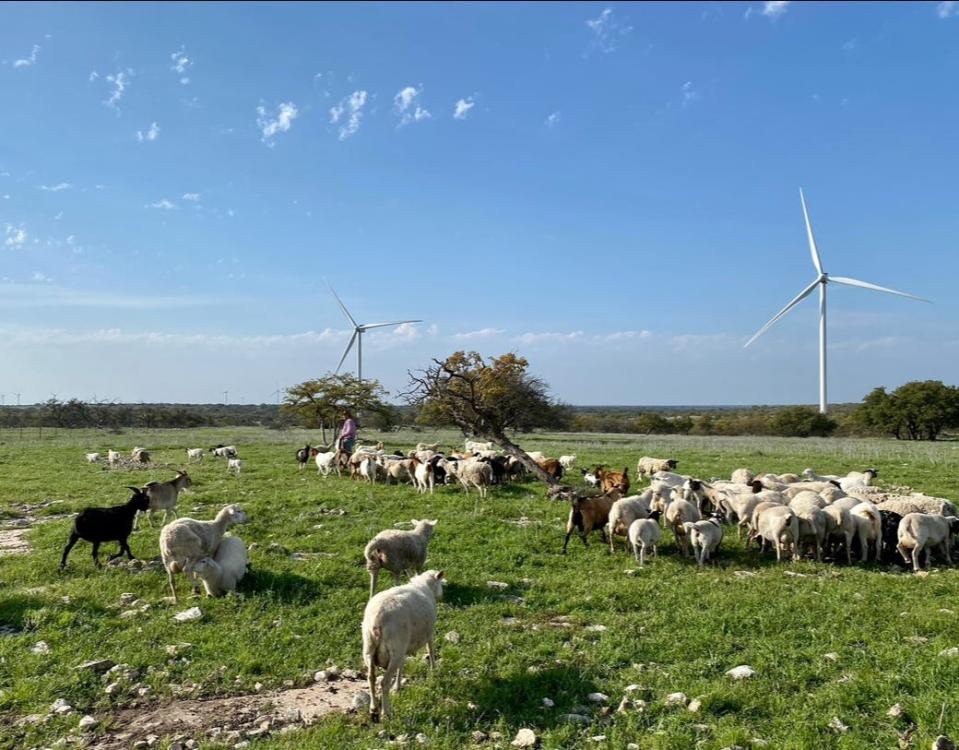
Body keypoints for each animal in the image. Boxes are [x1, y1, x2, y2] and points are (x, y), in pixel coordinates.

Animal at [364, 568, 446, 724]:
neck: (423, 585)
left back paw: (373, 709)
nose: (442, 595)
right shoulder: (429, 632)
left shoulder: (404, 646)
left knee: (371, 678)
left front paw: (398, 687)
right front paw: (434, 670)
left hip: (369, 648)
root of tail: (377, 619)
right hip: (395, 648)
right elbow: (431, 649)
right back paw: (386, 713)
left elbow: (401, 666)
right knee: (384, 682)